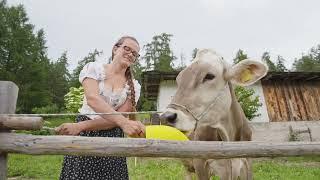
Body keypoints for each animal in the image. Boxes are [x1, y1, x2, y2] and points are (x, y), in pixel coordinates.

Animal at [160, 48, 268, 180]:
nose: (166, 117)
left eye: (209, 76)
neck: (228, 137)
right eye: (179, 80)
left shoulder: (247, 162)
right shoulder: (200, 162)